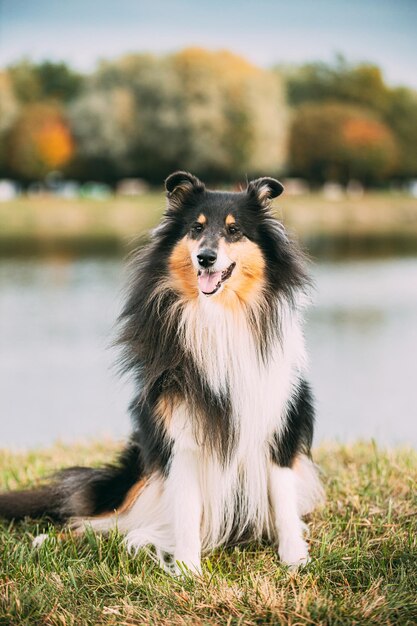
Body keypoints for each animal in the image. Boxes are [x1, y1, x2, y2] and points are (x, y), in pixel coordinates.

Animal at [0, 171, 322, 572]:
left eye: (234, 231)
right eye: (196, 228)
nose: (205, 257)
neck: (219, 317)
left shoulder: (277, 424)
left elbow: (282, 498)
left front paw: (294, 556)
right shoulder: (179, 435)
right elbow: (185, 510)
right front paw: (187, 569)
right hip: (143, 469)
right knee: (102, 519)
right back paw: (47, 539)